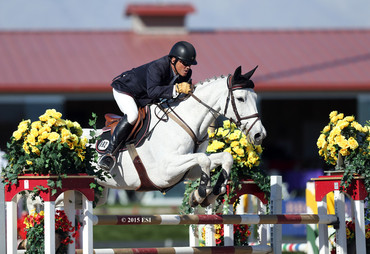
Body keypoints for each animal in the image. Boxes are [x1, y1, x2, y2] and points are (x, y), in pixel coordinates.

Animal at [92, 66, 266, 208]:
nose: (260, 134)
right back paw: (106, 159)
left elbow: (225, 157)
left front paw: (212, 192)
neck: (187, 122)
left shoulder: (190, 171)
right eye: (240, 99)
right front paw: (201, 192)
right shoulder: (166, 171)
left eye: (256, 98)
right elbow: (204, 159)